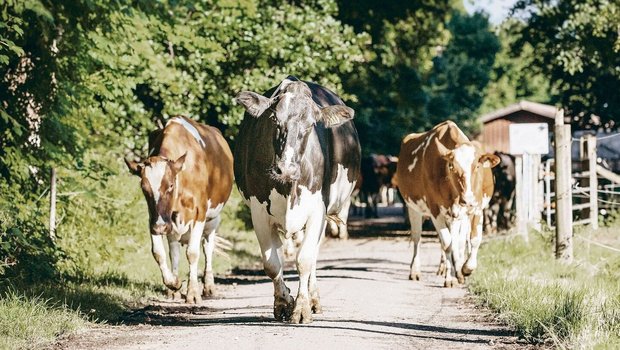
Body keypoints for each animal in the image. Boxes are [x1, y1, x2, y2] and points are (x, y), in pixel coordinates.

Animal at [124, 116, 234, 302]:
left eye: (170, 185)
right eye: (144, 188)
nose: (161, 227)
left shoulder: (200, 213)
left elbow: (193, 252)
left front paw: (193, 293)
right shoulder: (154, 218)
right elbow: (158, 252)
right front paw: (173, 283)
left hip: (213, 218)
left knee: (208, 247)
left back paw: (209, 286)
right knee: (174, 250)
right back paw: (173, 289)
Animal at [234, 75, 360, 324]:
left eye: (311, 124)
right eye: (274, 119)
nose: (286, 169)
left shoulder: (318, 211)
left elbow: (305, 260)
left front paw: (301, 307)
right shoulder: (258, 212)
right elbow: (272, 264)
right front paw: (283, 302)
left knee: (313, 256)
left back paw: (314, 299)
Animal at [398, 120, 498, 288]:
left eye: (477, 166)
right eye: (452, 167)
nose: (467, 199)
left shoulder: (476, 208)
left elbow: (473, 239)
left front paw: (466, 268)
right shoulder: (435, 210)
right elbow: (447, 243)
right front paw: (450, 278)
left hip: (457, 216)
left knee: (459, 240)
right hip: (414, 208)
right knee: (418, 238)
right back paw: (416, 271)